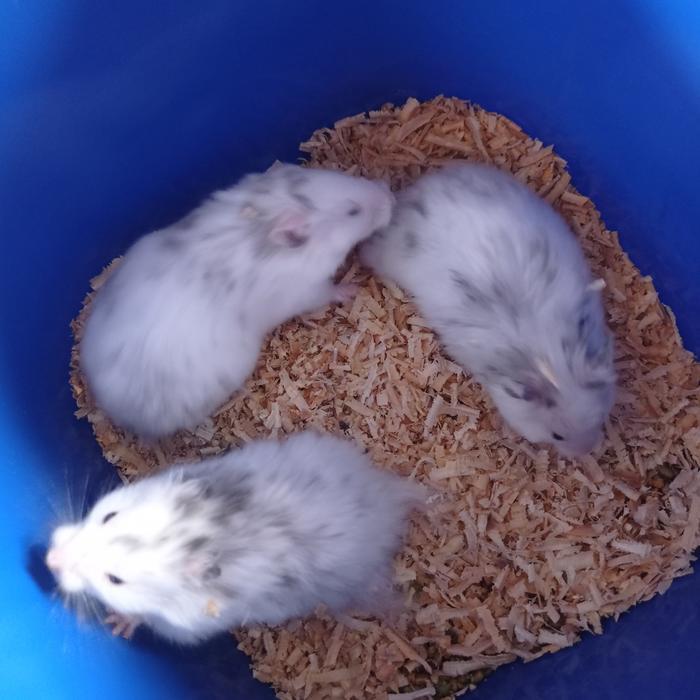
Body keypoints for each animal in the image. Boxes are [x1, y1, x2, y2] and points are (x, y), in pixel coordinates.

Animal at [45, 431, 424, 645]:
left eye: (115, 580)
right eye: (109, 516)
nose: (49, 557)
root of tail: (387, 502)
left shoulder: (183, 626)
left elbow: (144, 617)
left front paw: (119, 623)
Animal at [80, 164, 395, 438]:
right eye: (353, 211)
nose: (389, 195)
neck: (262, 220)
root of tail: (113, 411)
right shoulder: (306, 289)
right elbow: (327, 292)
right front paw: (351, 289)